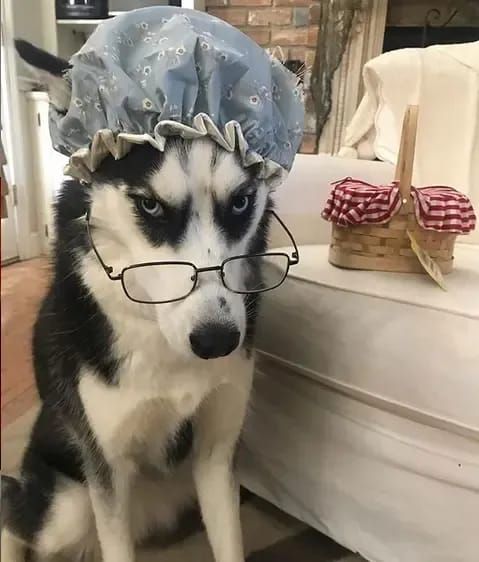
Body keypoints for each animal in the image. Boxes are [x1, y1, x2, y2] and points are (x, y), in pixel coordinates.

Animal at [1, 40, 298, 560]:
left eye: (241, 202)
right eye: (150, 205)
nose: (217, 341)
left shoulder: (216, 454)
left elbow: (229, 542)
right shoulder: (108, 471)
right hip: (68, 507)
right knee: (11, 513)